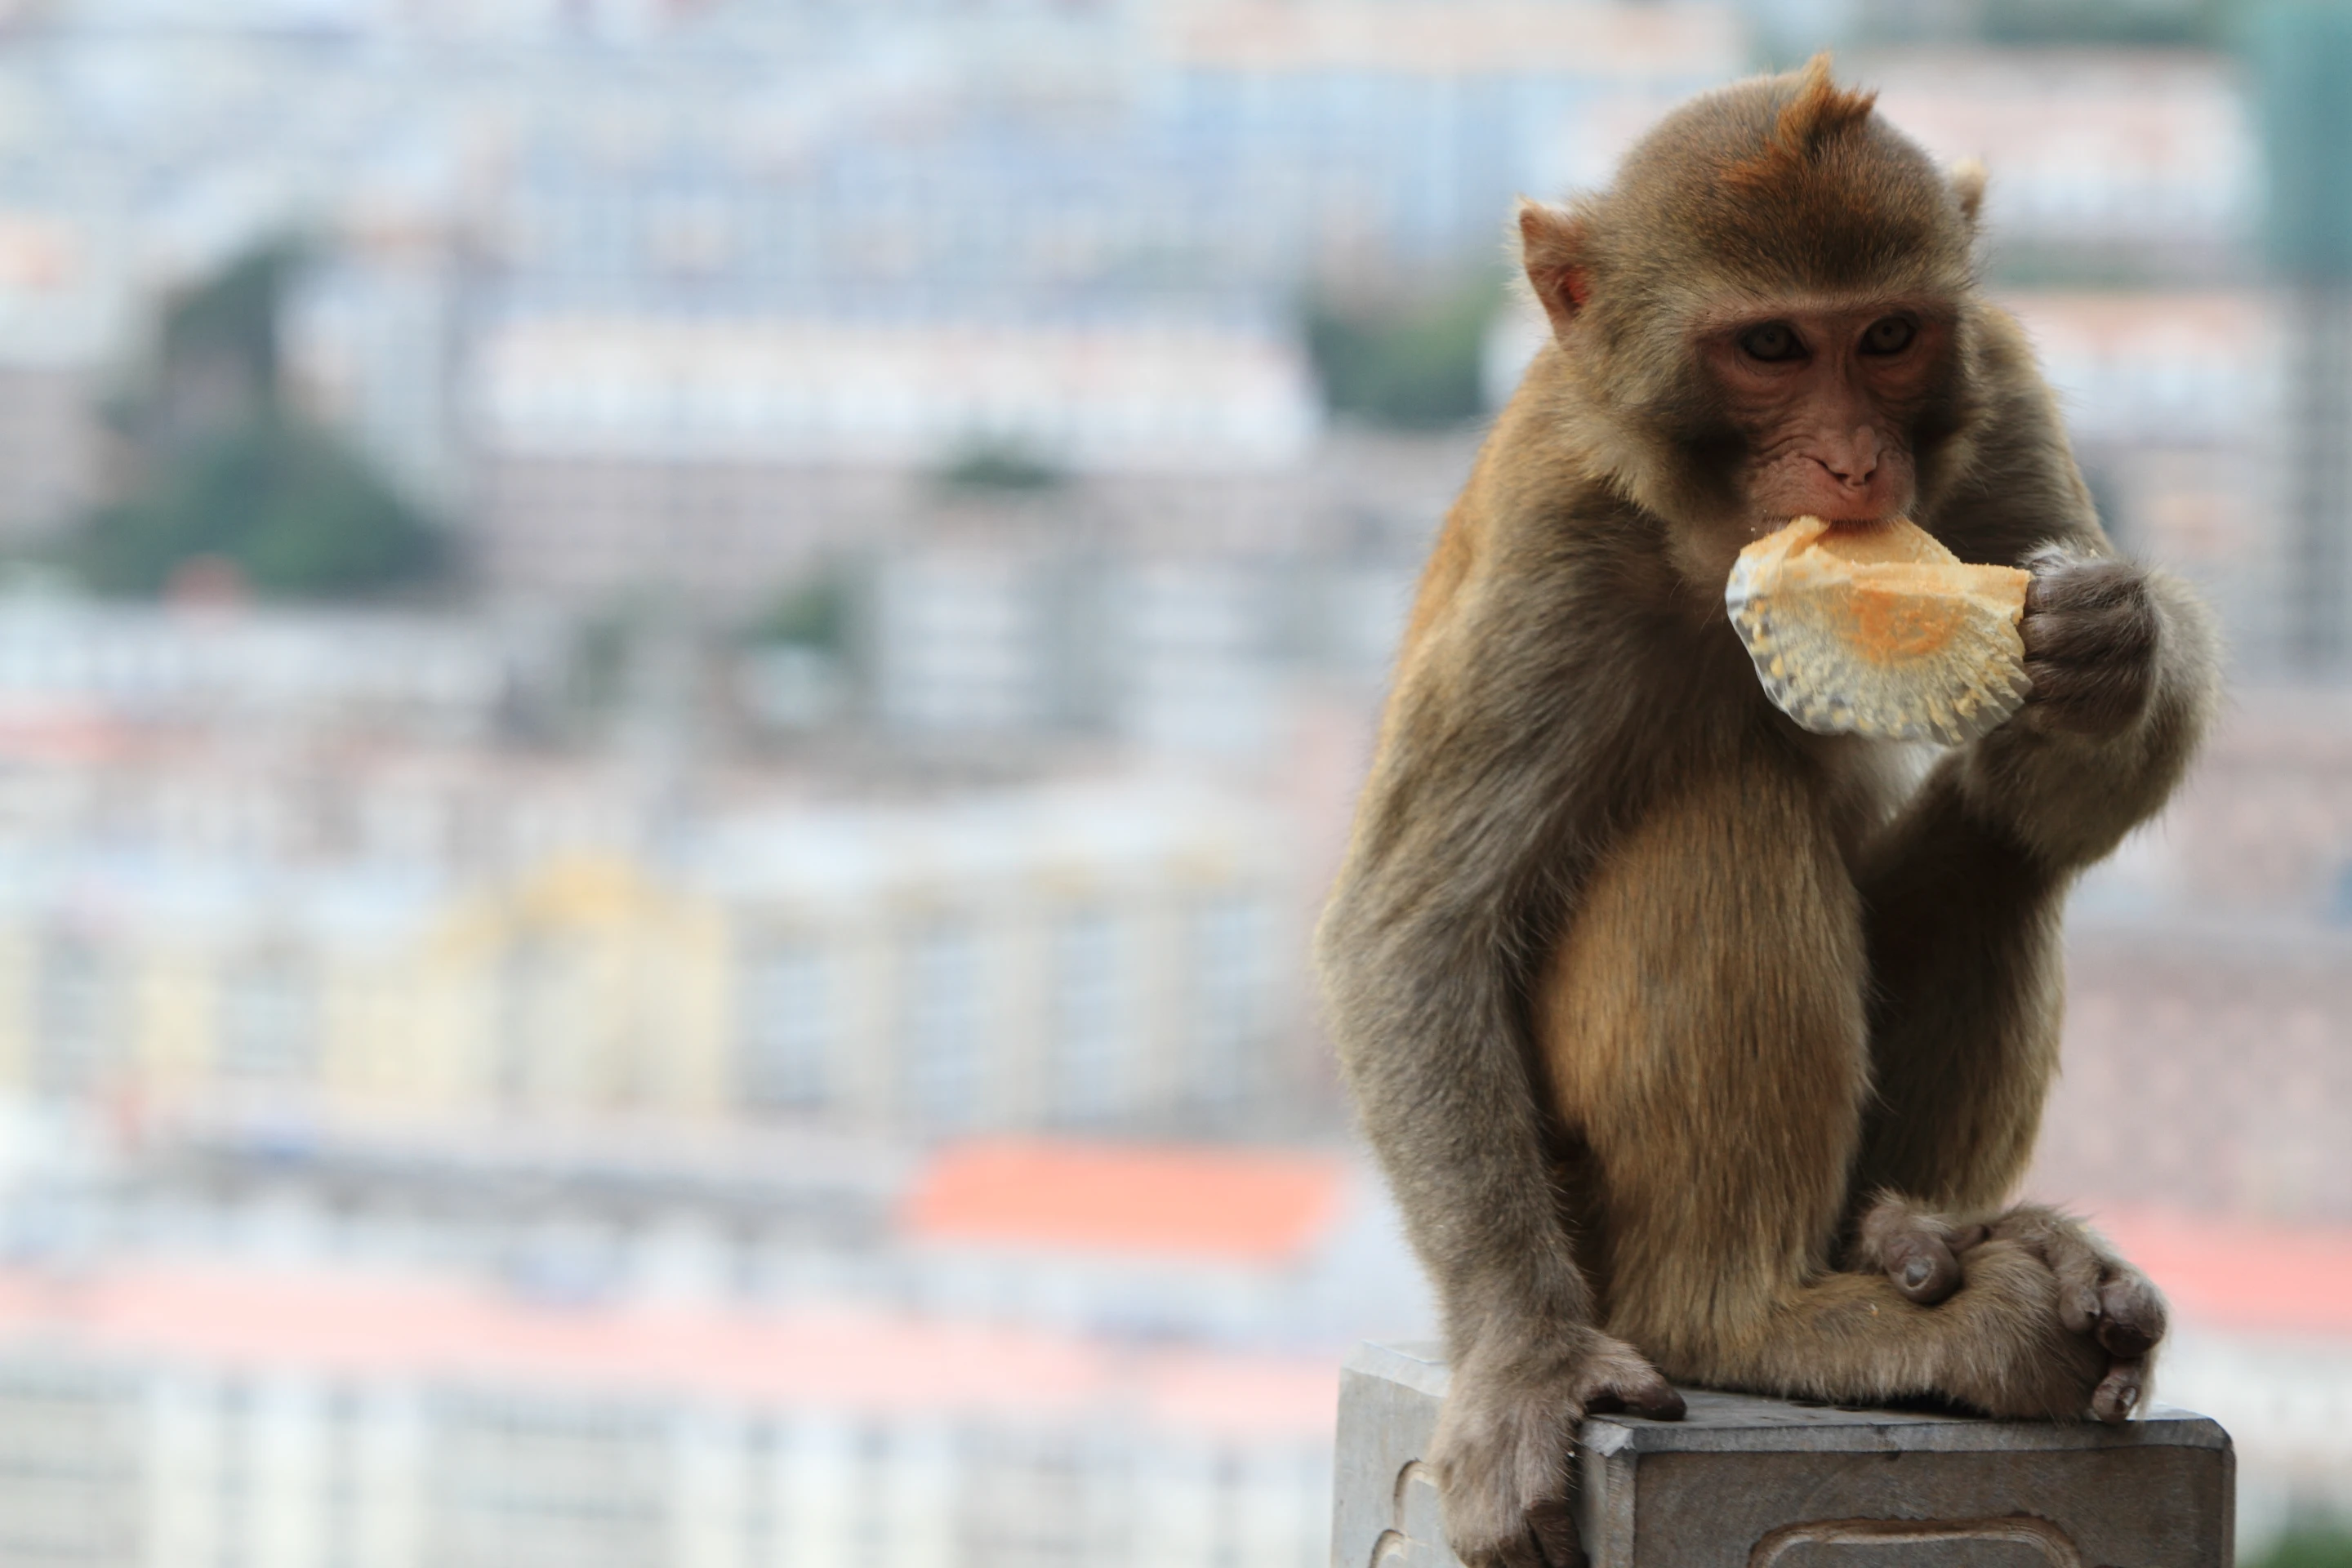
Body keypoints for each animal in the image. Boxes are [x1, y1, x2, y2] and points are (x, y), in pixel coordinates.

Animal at [1315, 58, 2219, 1568]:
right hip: (1598, 1223)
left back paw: (1917, 1242)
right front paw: (1524, 1363)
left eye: (1891, 336)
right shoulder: (1554, 537)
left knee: (2005, 851)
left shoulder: (2007, 402)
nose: (1854, 461)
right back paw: (1758, 1315)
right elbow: (1417, 925)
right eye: (1774, 348)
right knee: (1729, 817)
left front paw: (2114, 646)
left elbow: (2056, 796)